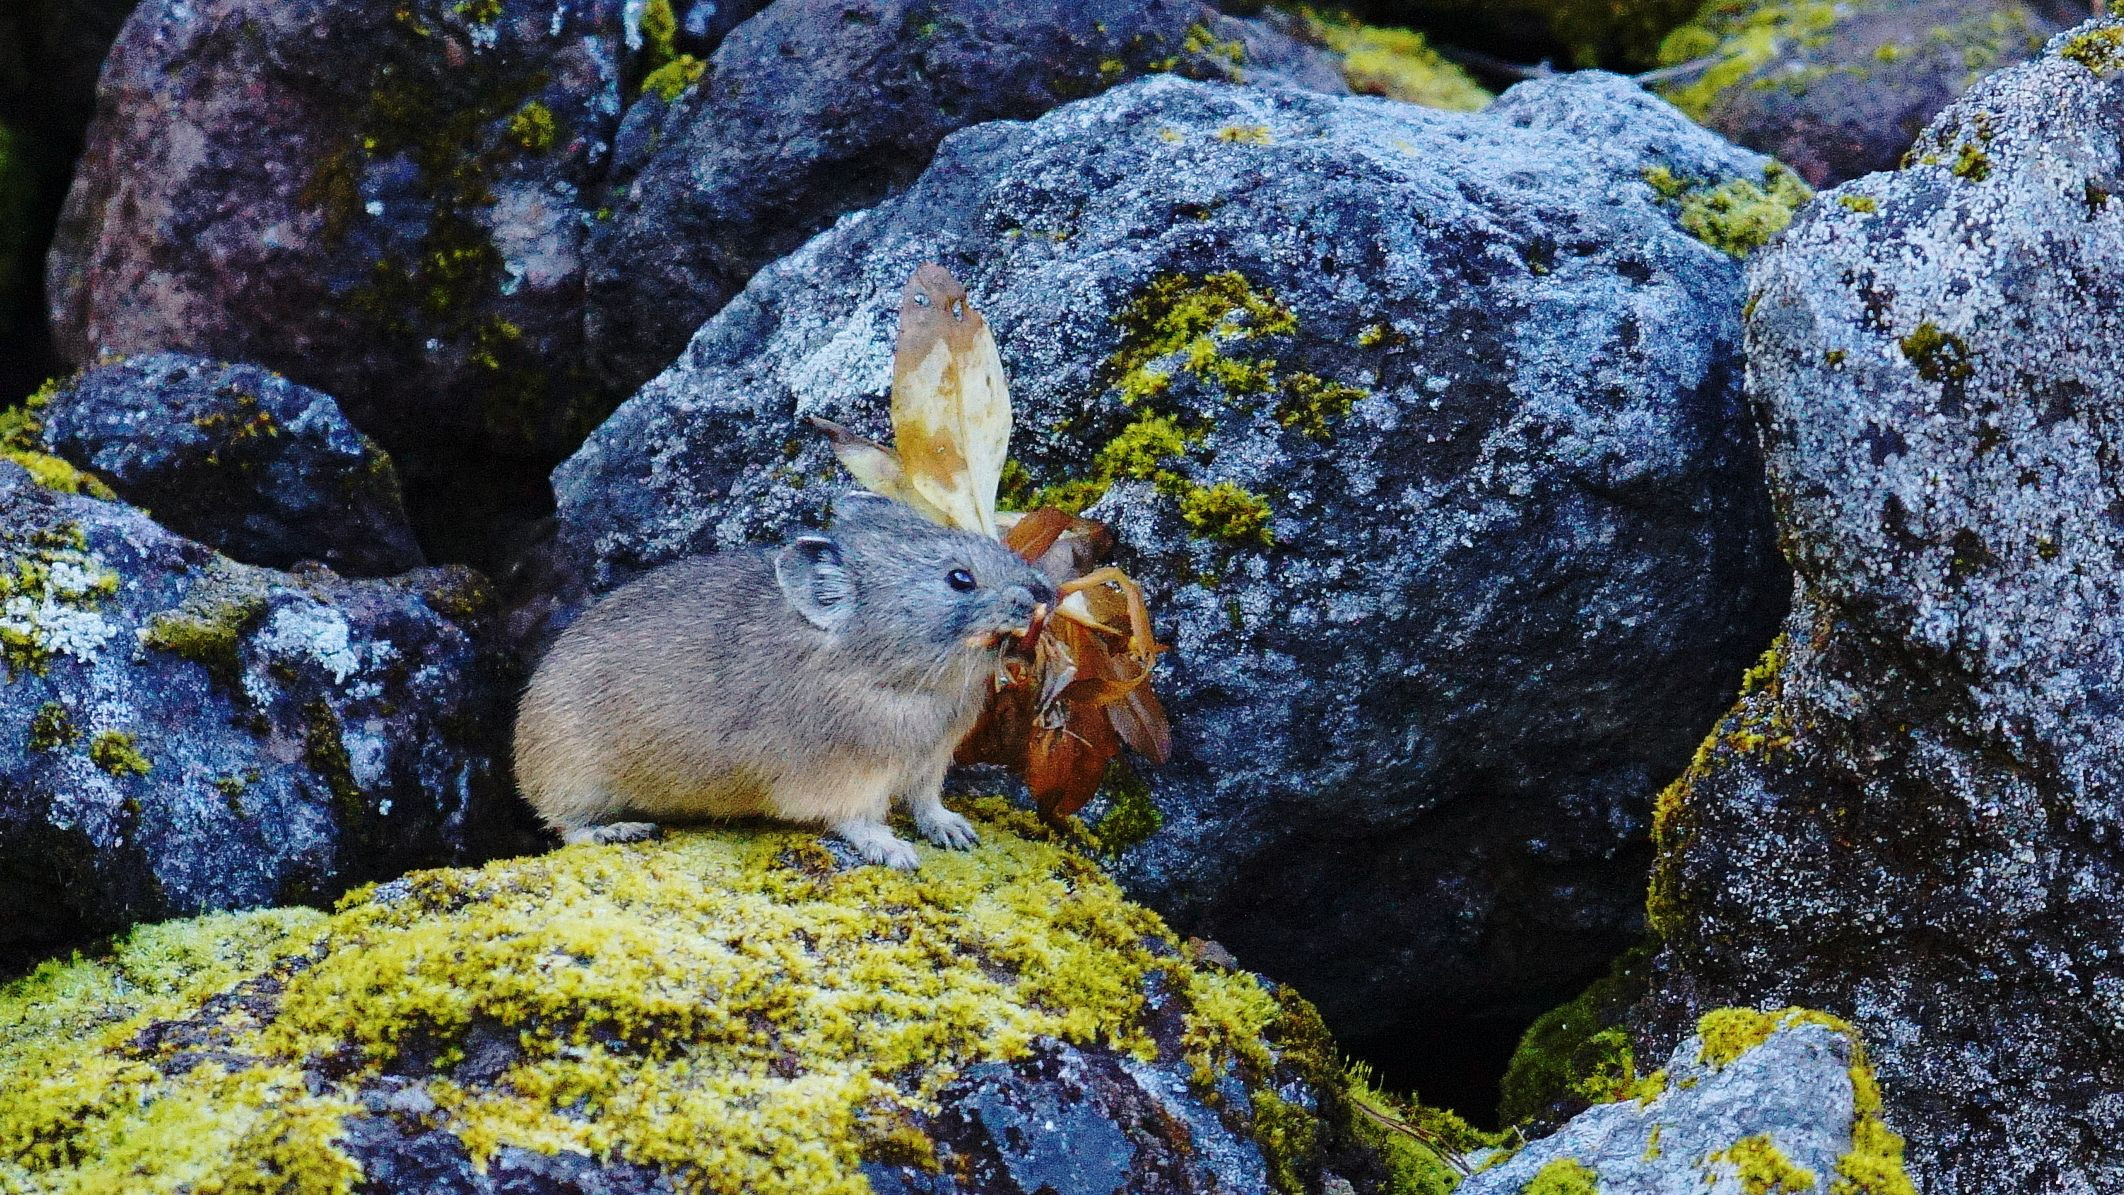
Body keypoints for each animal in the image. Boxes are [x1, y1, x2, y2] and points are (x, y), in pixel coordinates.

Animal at [513, 494, 1056, 868]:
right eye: (959, 579)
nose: (1045, 593)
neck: (892, 678)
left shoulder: (930, 762)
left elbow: (927, 802)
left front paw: (955, 831)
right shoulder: (842, 778)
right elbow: (858, 820)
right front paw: (895, 850)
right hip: (576, 776)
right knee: (565, 823)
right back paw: (618, 831)